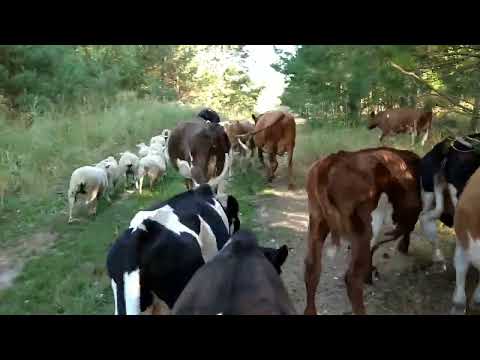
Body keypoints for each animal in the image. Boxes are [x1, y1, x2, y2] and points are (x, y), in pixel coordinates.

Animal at [306, 148, 422, 314]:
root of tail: (333, 159)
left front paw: (369, 275)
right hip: (363, 229)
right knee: (352, 278)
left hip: (317, 219)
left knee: (312, 268)